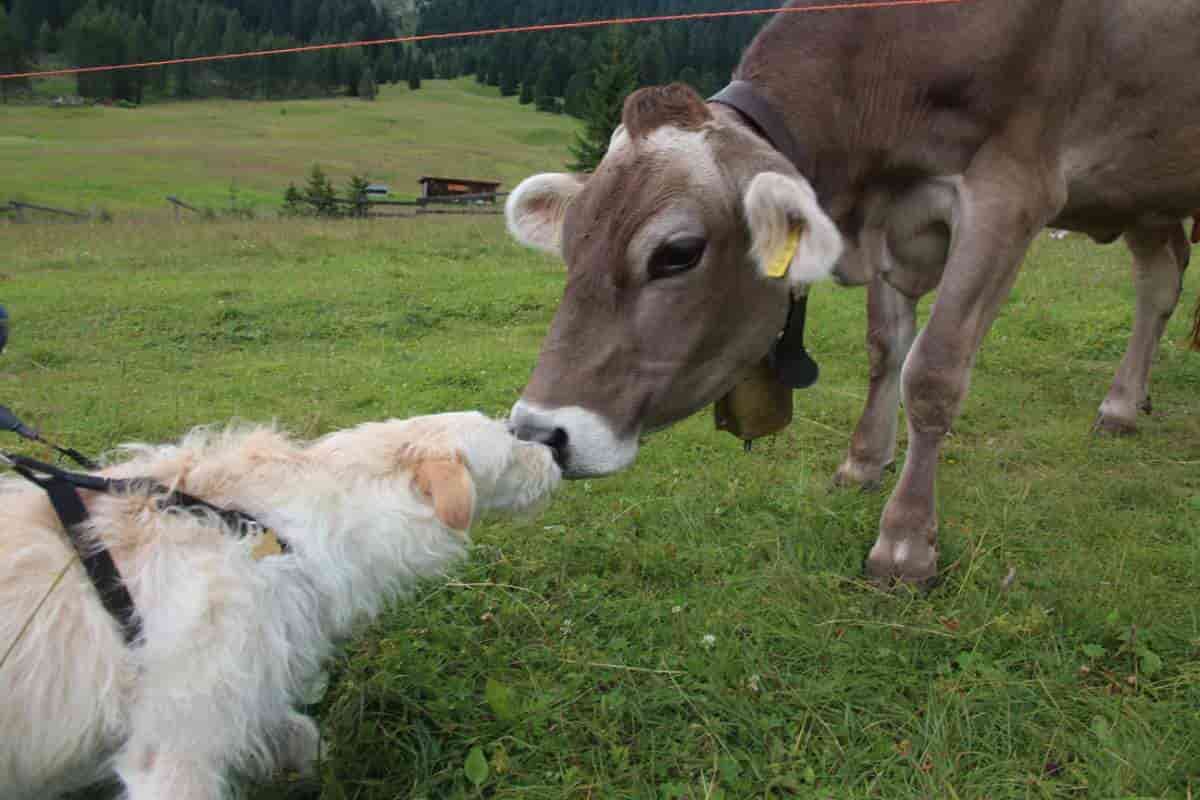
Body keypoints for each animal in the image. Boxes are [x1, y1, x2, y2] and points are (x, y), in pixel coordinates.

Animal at [0, 412, 559, 800]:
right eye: (512, 449)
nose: (556, 453)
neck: (271, 528)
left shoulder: (248, 680)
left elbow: (297, 732)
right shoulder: (173, 745)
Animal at [506, 3, 1200, 585]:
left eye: (677, 252)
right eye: (570, 244)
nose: (540, 432)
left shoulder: (1010, 191)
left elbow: (933, 373)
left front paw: (905, 543)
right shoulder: (896, 220)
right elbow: (884, 350)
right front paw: (863, 463)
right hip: (1147, 197)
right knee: (1160, 281)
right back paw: (1124, 403)